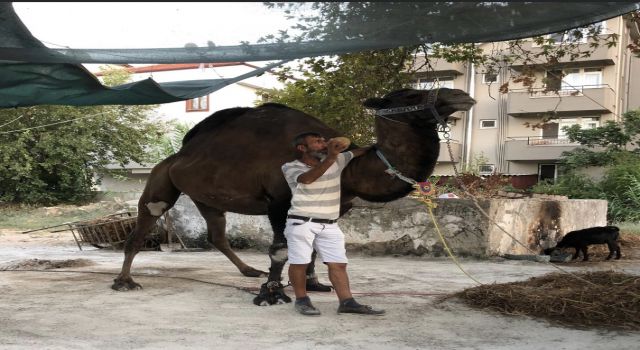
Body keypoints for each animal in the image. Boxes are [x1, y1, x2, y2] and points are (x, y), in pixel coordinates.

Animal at [112, 87, 476, 304]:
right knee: (144, 223)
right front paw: (272, 293)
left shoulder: (335, 207)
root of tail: (177, 155)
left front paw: (313, 284)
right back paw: (124, 281)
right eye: (411, 94)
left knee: (217, 235)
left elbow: (313, 248)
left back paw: (248, 271)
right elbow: (279, 250)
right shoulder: (279, 202)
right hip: (161, 179)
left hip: (206, 196)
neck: (348, 170)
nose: (460, 95)